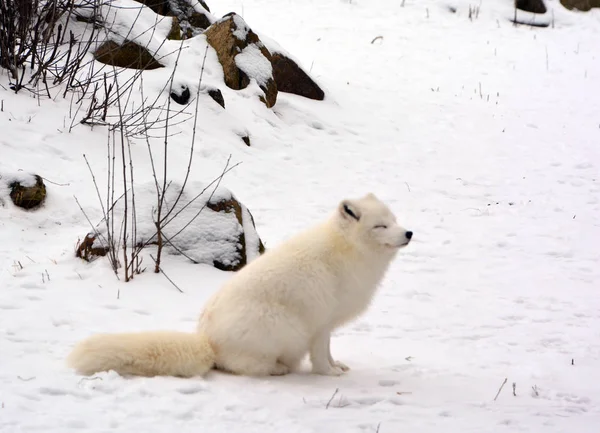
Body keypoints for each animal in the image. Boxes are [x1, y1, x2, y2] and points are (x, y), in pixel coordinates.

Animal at [67, 194, 412, 376]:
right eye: (380, 226)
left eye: (394, 221)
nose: (408, 233)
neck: (347, 251)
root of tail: (207, 340)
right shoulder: (320, 323)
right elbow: (320, 356)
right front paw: (330, 375)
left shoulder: (326, 326)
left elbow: (328, 352)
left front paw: (337, 365)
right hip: (285, 327)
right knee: (240, 365)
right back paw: (277, 368)